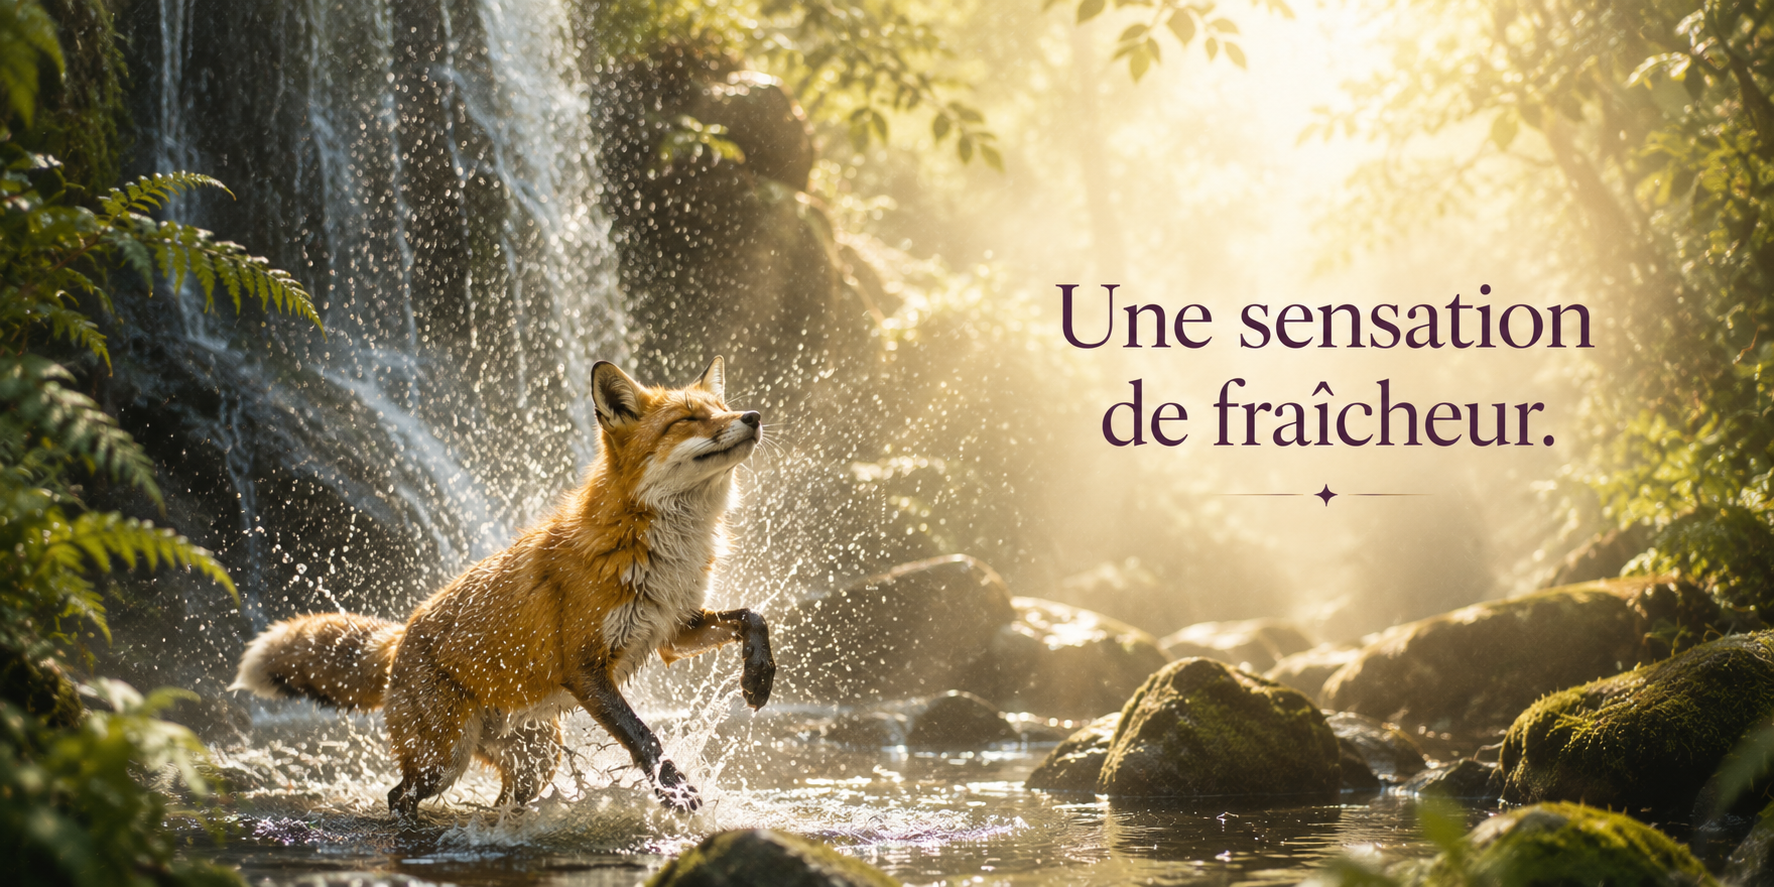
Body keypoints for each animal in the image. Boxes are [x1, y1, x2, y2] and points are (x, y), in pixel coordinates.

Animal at [229, 357, 774, 816]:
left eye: (722, 408)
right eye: (688, 419)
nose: (752, 416)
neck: (656, 545)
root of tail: (402, 634)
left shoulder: (671, 629)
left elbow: (753, 617)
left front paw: (759, 678)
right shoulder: (585, 667)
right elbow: (646, 739)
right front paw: (675, 790)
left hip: (535, 758)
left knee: (503, 803)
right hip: (442, 760)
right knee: (397, 796)